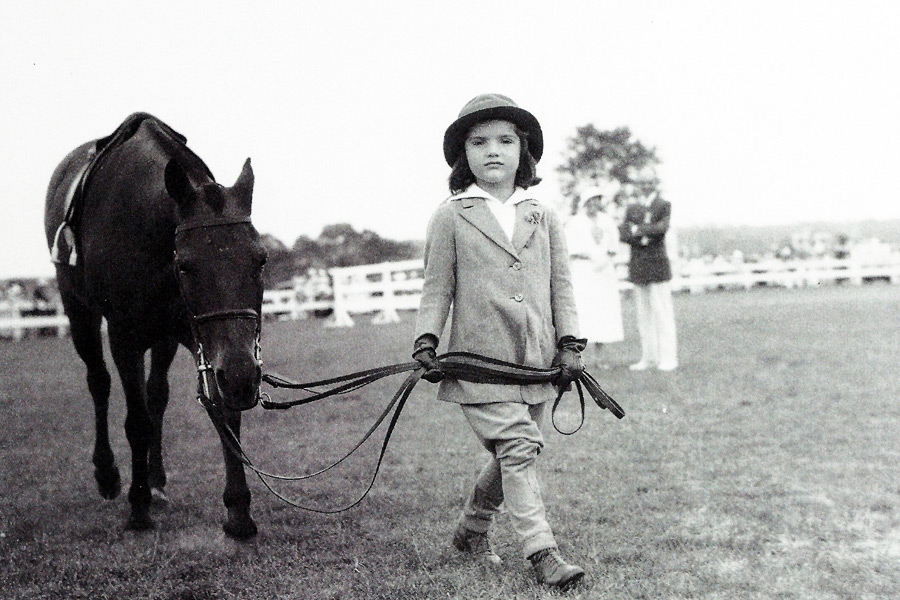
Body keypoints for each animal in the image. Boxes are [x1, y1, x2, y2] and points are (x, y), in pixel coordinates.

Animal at [44, 113, 268, 540]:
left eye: (261, 259)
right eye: (186, 265)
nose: (243, 377)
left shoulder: (201, 338)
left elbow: (221, 410)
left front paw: (238, 510)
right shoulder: (125, 338)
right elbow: (136, 422)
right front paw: (138, 505)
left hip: (166, 338)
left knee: (156, 395)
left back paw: (157, 479)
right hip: (78, 313)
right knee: (99, 382)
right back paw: (108, 474)